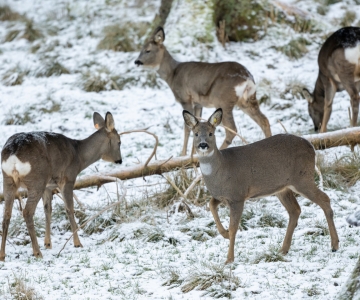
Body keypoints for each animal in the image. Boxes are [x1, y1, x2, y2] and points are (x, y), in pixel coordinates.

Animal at [0, 111, 122, 262]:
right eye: (119, 142)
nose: (120, 160)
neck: (79, 156)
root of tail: (14, 152)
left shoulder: (48, 186)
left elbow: (48, 210)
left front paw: (48, 243)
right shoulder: (68, 178)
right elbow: (69, 208)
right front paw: (77, 243)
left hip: (8, 180)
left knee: (6, 213)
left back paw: (2, 255)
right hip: (36, 180)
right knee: (27, 212)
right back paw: (37, 253)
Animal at [136, 26, 272, 156]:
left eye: (148, 50)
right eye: (141, 49)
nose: (137, 61)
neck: (172, 74)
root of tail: (247, 78)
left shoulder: (185, 98)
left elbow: (186, 128)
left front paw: (183, 155)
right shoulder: (198, 103)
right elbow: (196, 124)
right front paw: (192, 154)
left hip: (223, 100)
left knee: (232, 130)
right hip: (247, 100)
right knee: (264, 120)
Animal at [184, 109, 338, 264]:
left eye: (211, 133)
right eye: (195, 133)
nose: (203, 145)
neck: (220, 170)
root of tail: (311, 147)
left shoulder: (237, 195)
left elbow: (234, 227)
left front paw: (229, 259)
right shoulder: (221, 196)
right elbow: (211, 205)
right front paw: (224, 234)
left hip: (302, 178)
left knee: (324, 199)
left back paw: (334, 245)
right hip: (283, 187)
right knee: (295, 210)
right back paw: (283, 250)